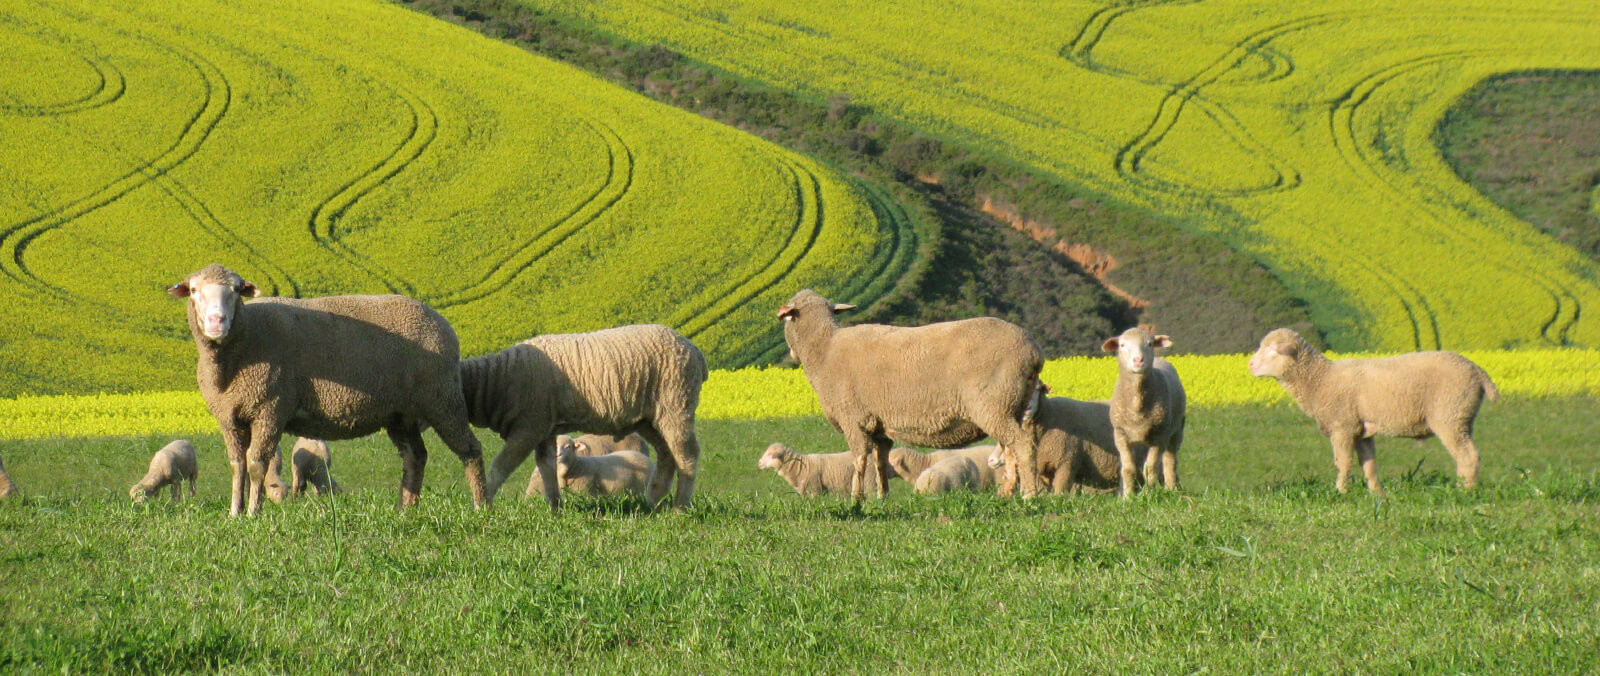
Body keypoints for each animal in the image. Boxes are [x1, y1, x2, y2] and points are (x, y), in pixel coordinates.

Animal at [169, 264, 488, 516]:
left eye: (236, 290)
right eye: (194, 290)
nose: (217, 321)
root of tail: (440, 321)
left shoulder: (270, 408)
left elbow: (257, 464)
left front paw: (253, 514)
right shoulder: (230, 417)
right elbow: (237, 466)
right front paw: (235, 513)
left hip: (441, 396)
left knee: (470, 450)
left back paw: (481, 506)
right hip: (401, 412)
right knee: (415, 457)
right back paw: (405, 508)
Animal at [462, 324, 707, 512]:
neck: (497, 381)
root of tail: (694, 349)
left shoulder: (528, 428)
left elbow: (500, 466)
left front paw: (483, 505)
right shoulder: (543, 427)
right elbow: (547, 467)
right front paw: (555, 509)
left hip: (676, 403)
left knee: (687, 455)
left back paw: (679, 508)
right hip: (651, 418)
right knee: (667, 454)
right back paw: (654, 501)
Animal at [778, 289, 1046, 500]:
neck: (824, 349)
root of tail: (1033, 350)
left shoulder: (853, 419)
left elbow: (859, 459)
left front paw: (856, 499)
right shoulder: (878, 426)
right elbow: (880, 462)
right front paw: (882, 497)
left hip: (993, 405)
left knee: (1022, 444)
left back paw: (1029, 495)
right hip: (1014, 405)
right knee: (1011, 449)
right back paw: (1008, 493)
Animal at [1102, 327, 1187, 498]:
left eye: (1149, 344)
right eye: (1122, 345)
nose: (1138, 360)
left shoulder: (1159, 435)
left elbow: (1151, 468)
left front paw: (1149, 494)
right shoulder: (1120, 434)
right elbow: (1128, 469)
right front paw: (1128, 497)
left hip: (1176, 430)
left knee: (1170, 460)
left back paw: (1170, 489)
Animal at [1248, 328, 1498, 494]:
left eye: (1272, 351)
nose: (1249, 365)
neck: (1320, 379)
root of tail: (1477, 371)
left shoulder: (1343, 426)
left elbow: (1343, 462)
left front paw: (1340, 492)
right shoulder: (1361, 431)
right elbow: (1369, 465)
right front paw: (1376, 494)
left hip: (1449, 415)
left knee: (1467, 455)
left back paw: (1464, 491)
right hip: (1463, 418)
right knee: (1467, 454)